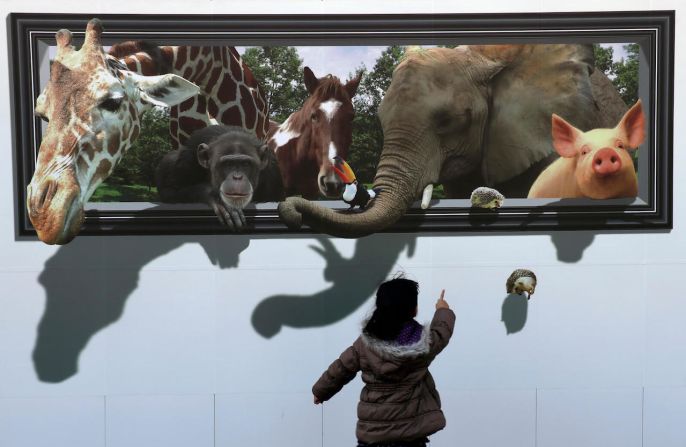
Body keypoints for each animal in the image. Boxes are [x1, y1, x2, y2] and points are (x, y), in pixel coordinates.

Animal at [156, 125, 284, 231]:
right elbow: (170, 191)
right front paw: (218, 198)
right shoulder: (186, 161)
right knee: (169, 158)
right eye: (227, 164)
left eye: (245, 164)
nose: (237, 177)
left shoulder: (272, 170)